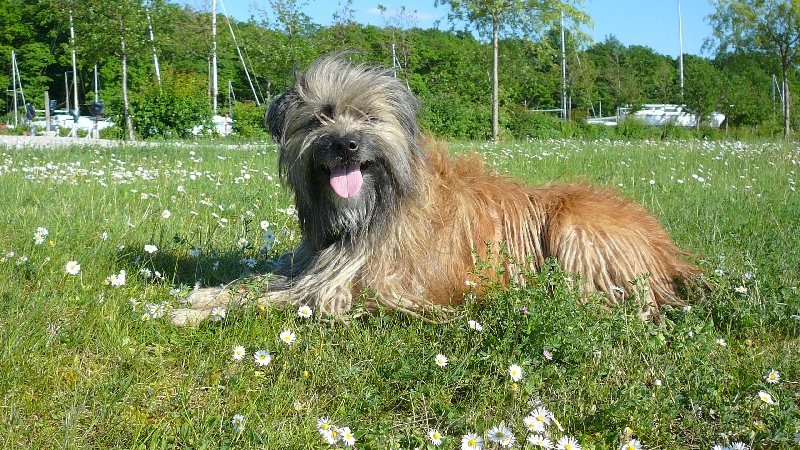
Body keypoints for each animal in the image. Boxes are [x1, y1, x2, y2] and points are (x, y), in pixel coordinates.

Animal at [170, 54, 700, 326]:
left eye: (368, 117)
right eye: (320, 117)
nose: (345, 144)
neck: (375, 207)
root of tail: (668, 250)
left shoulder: (364, 286)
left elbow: (280, 298)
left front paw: (194, 312)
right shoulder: (316, 263)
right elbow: (261, 281)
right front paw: (203, 296)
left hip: (574, 228)